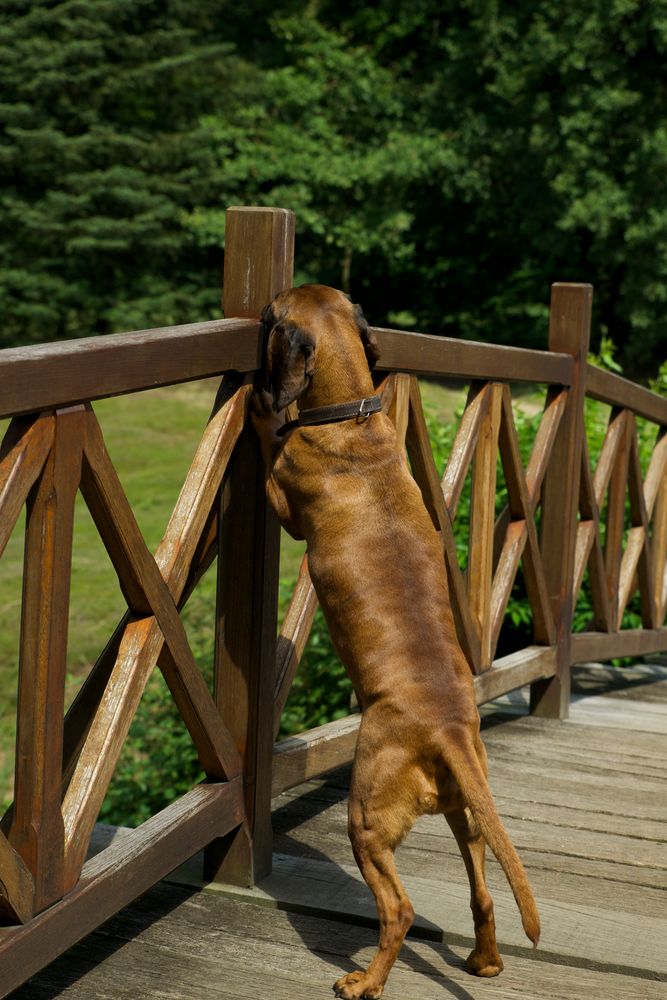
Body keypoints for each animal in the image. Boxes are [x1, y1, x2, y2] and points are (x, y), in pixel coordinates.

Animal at [253, 286, 540, 996]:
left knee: (400, 911)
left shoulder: (282, 494)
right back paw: (485, 961)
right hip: (467, 818)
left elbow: (267, 442)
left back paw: (363, 982)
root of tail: (451, 731)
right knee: (482, 894)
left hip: (366, 820)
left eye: (273, 315)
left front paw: (260, 408)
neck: (352, 417)